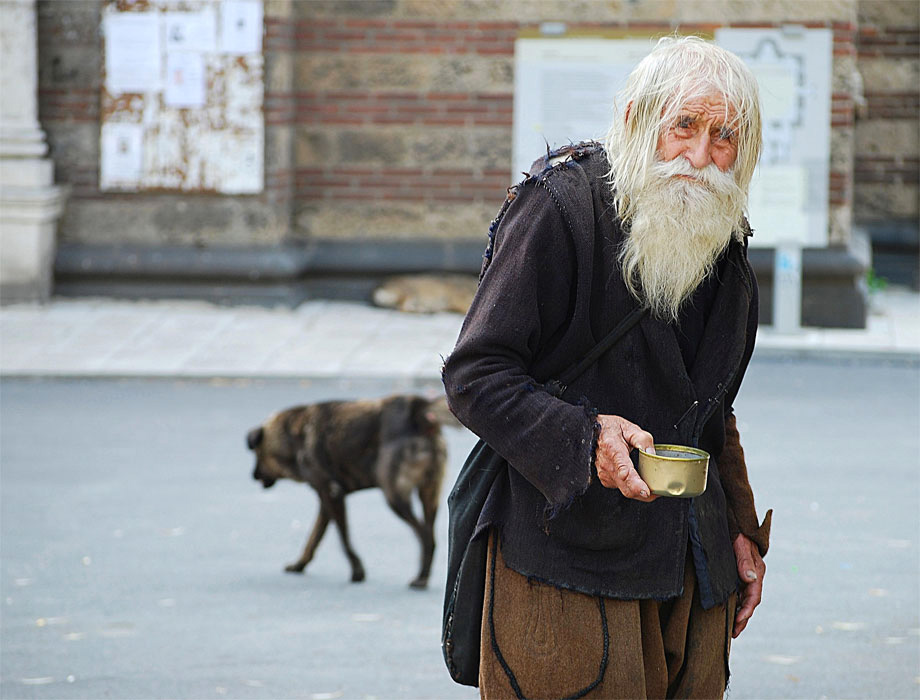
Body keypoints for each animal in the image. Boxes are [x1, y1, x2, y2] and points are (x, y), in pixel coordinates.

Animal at [243, 396, 448, 588]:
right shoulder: (325, 501)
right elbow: (313, 538)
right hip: (429, 496)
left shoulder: (332, 494)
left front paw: (357, 571)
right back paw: (424, 576)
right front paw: (299, 564)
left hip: (395, 496)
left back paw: (421, 578)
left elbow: (343, 538)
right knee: (432, 535)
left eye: (257, 454)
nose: (253, 476)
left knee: (425, 536)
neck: (292, 435)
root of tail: (418, 407)